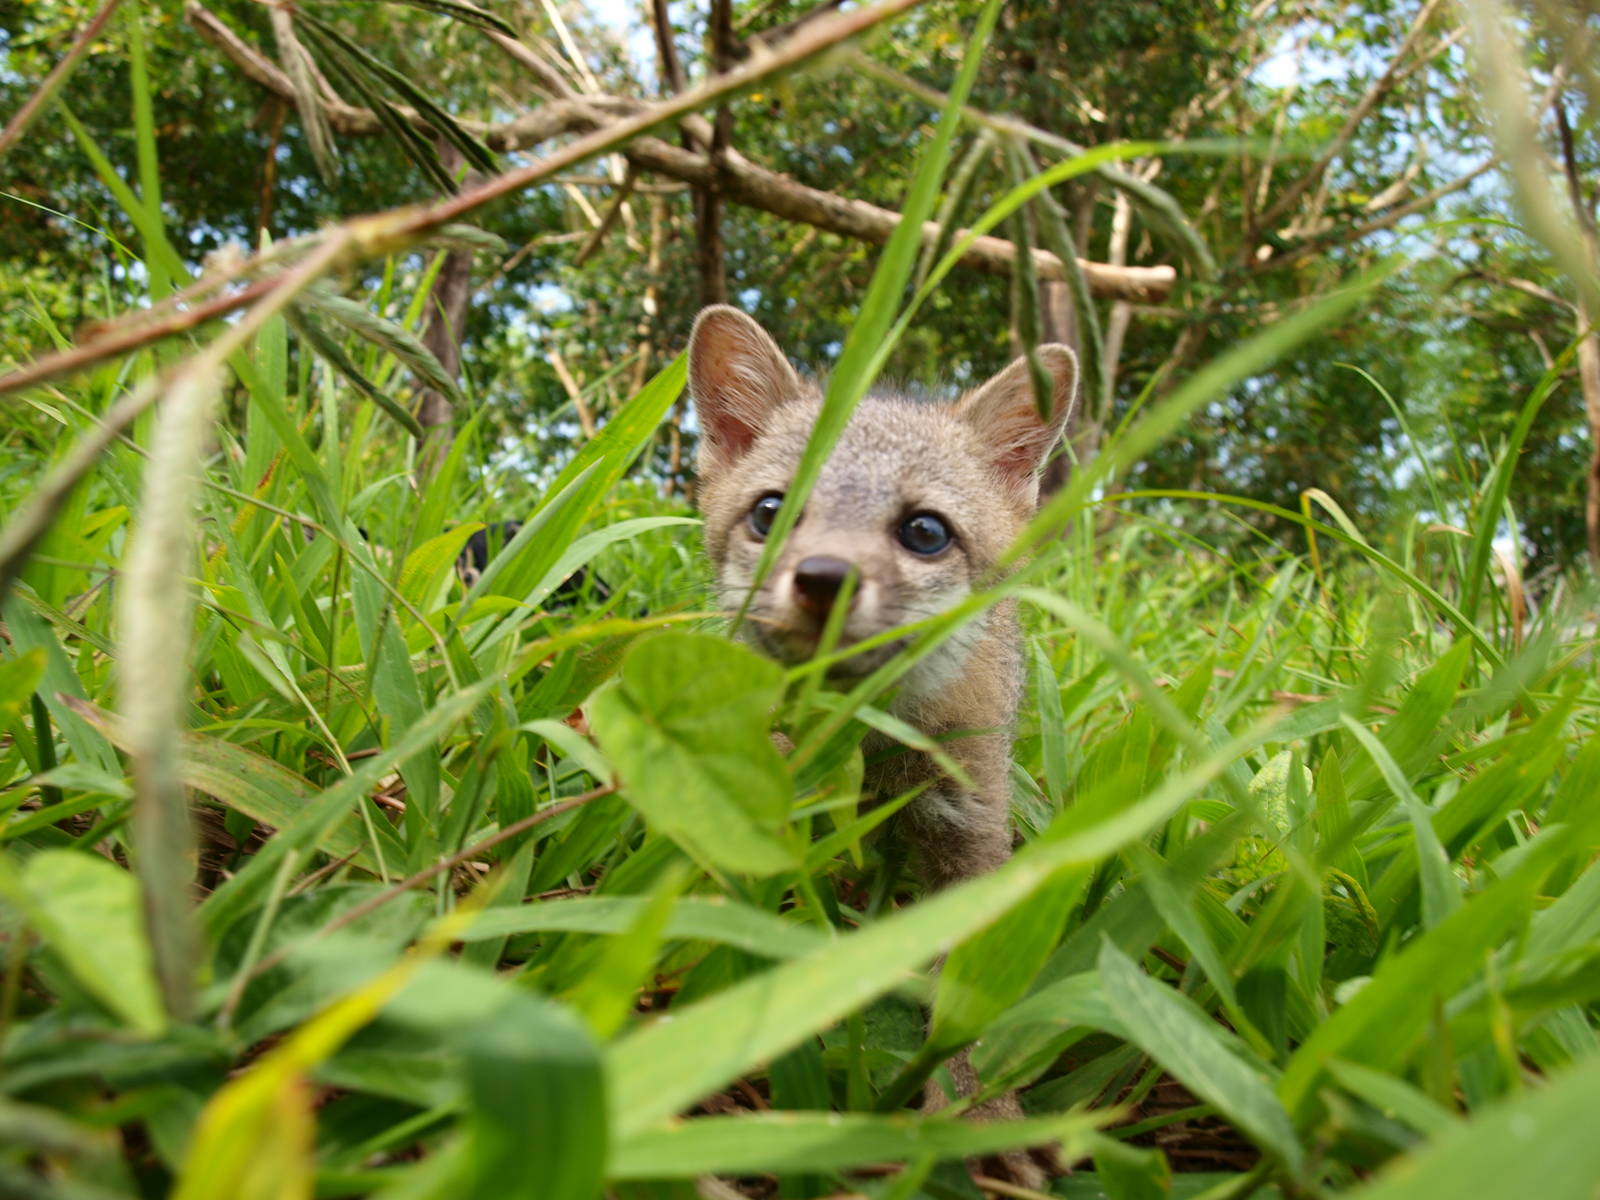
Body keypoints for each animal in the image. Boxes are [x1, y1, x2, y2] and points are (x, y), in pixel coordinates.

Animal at [686, 305, 1077, 1185]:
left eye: (924, 532)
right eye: (770, 513)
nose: (823, 578)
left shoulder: (970, 835)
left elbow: (964, 1012)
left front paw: (978, 1119)